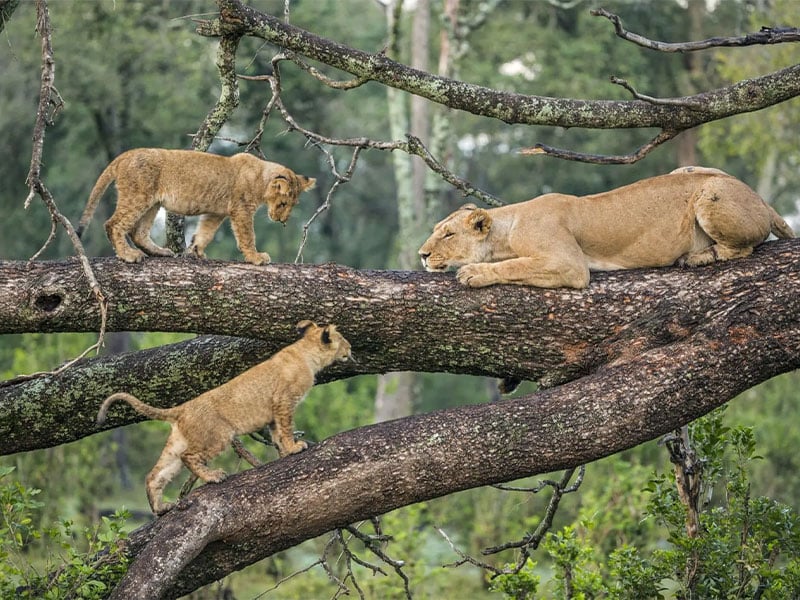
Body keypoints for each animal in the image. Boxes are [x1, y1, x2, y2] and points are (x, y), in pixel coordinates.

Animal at [77, 148, 316, 265]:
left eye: (293, 205)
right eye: (283, 203)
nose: (282, 221)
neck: (260, 176)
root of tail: (126, 154)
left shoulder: (216, 213)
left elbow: (205, 233)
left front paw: (196, 251)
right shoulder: (241, 209)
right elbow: (247, 236)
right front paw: (256, 258)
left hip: (152, 202)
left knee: (138, 232)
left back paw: (160, 252)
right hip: (138, 196)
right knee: (113, 224)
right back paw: (128, 255)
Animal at [96, 320, 352, 515]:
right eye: (342, 338)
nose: (351, 349)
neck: (306, 352)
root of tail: (183, 408)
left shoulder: (273, 413)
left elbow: (277, 434)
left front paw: (285, 452)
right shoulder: (284, 401)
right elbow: (286, 429)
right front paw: (295, 447)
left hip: (177, 444)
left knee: (154, 475)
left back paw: (160, 508)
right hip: (219, 436)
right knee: (190, 457)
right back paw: (213, 477)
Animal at [419, 167, 795, 289]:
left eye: (448, 234)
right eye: (436, 228)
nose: (421, 254)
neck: (507, 227)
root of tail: (761, 200)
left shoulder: (569, 263)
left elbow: (516, 265)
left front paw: (473, 272)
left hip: (710, 193)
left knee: (742, 247)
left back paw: (698, 256)